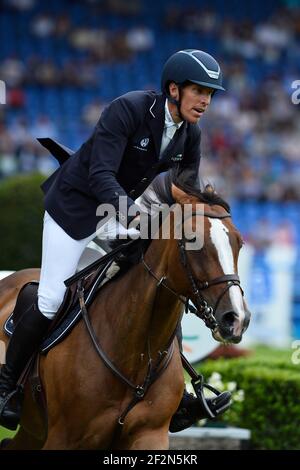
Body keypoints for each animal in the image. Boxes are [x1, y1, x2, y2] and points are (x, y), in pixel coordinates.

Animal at [0, 174, 251, 450]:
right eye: (193, 241)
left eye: (239, 243)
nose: (236, 319)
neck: (135, 352)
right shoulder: (63, 437)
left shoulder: (150, 434)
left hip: (33, 431)